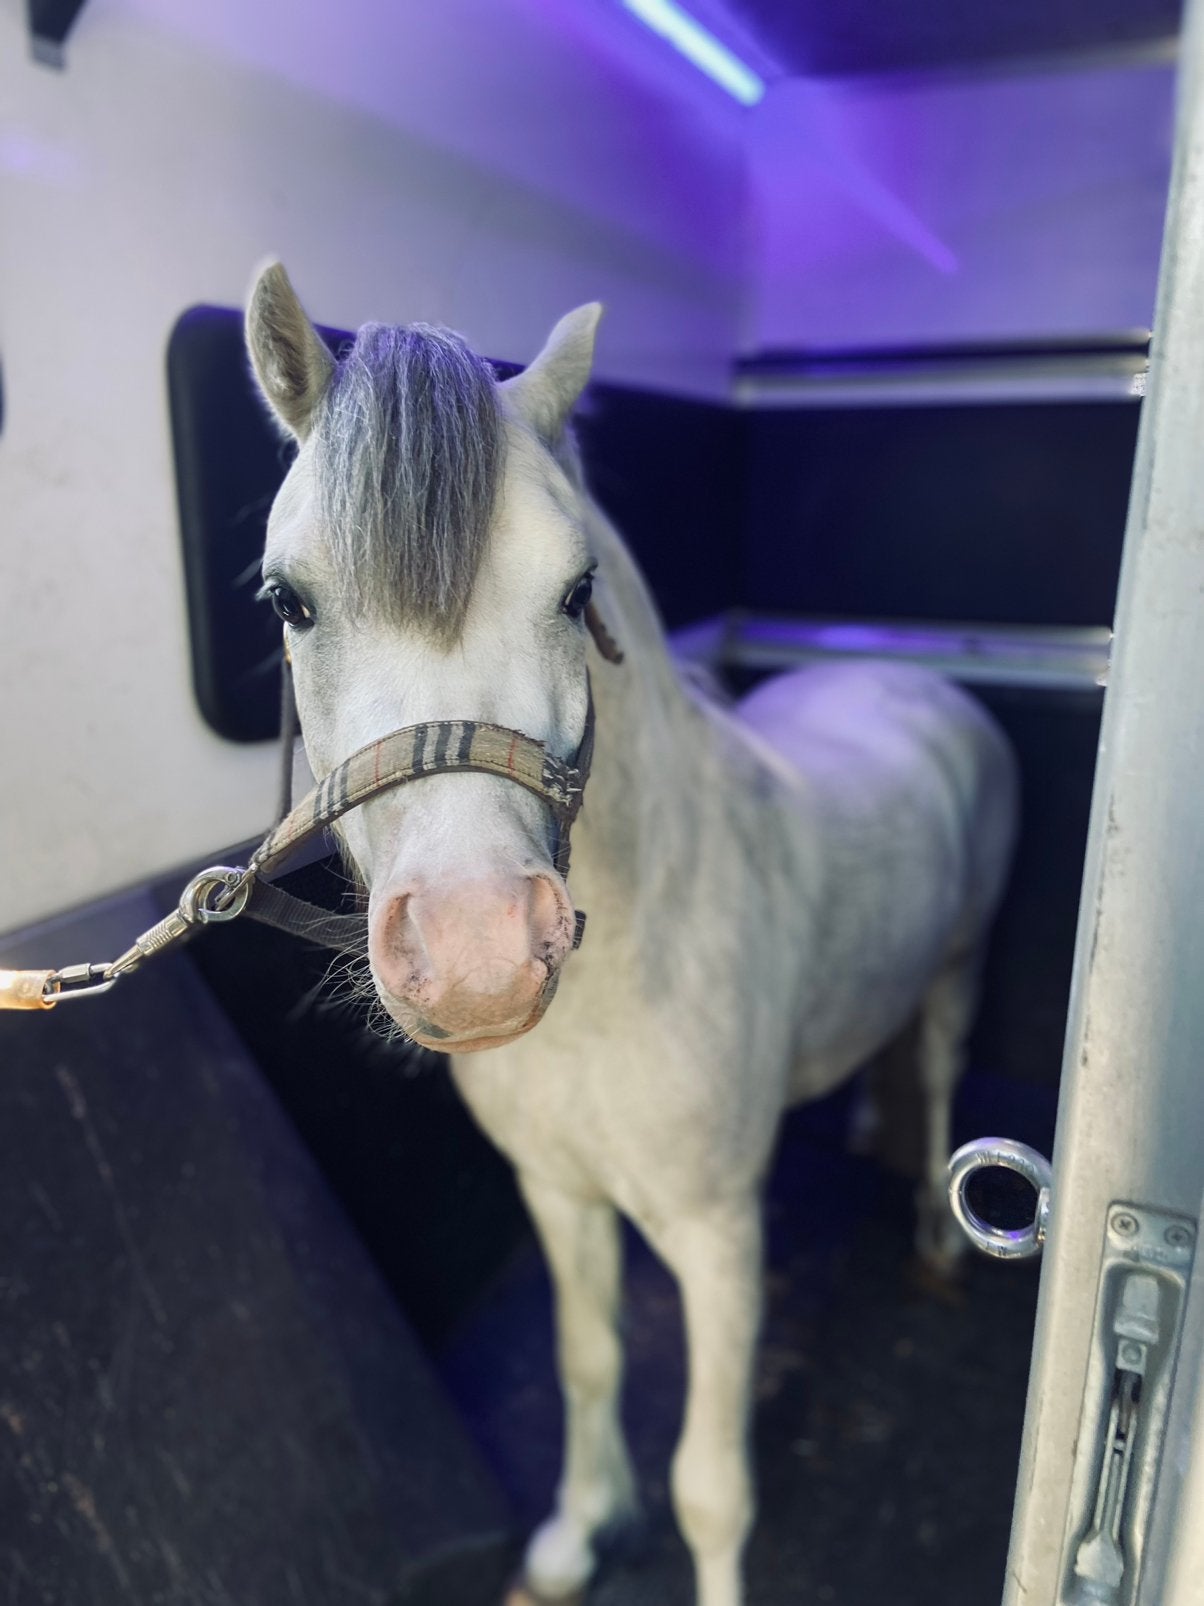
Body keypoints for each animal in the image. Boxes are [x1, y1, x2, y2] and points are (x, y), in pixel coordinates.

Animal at [244, 263, 1018, 1606]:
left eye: (576, 593)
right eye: (291, 600)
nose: (478, 955)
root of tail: (925, 689)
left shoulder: (718, 1236)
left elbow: (710, 1486)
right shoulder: (558, 1193)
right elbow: (586, 1362)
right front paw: (571, 1537)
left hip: (960, 973)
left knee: (934, 1073)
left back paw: (935, 1238)